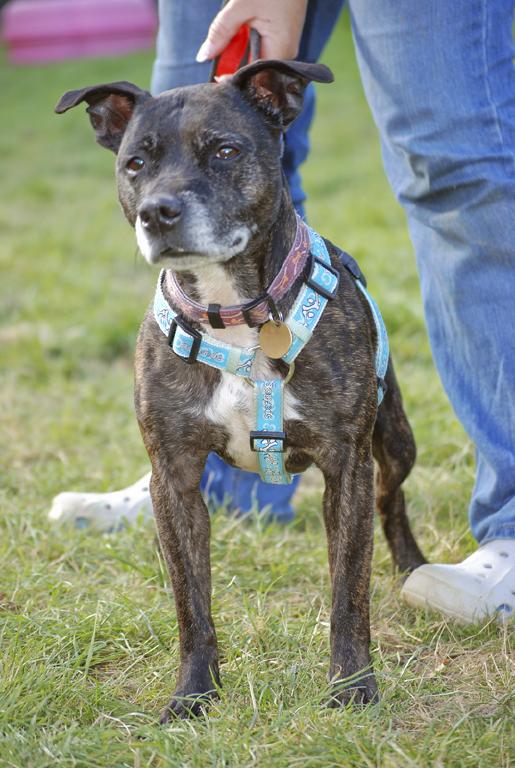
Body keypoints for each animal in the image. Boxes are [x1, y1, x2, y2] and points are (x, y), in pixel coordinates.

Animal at [57, 60, 428, 720]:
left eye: (225, 151)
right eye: (136, 162)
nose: (158, 211)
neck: (230, 310)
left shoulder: (346, 467)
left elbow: (348, 594)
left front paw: (353, 685)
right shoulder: (173, 477)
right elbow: (191, 603)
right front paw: (194, 692)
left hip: (394, 439)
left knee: (392, 498)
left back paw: (411, 566)